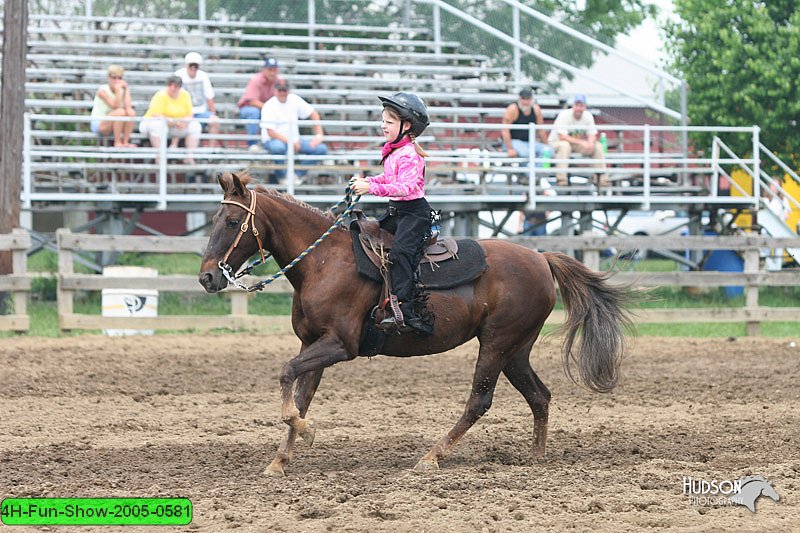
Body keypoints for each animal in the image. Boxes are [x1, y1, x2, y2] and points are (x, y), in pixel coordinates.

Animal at [198, 172, 632, 476]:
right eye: (213, 217)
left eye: (233, 221)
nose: (207, 277)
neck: (323, 261)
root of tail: (541, 258)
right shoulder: (312, 345)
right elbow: (300, 395)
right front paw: (280, 460)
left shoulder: (339, 345)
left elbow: (287, 375)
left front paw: (306, 432)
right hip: (516, 350)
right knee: (539, 395)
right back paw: (537, 457)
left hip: (497, 344)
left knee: (480, 400)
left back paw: (432, 456)